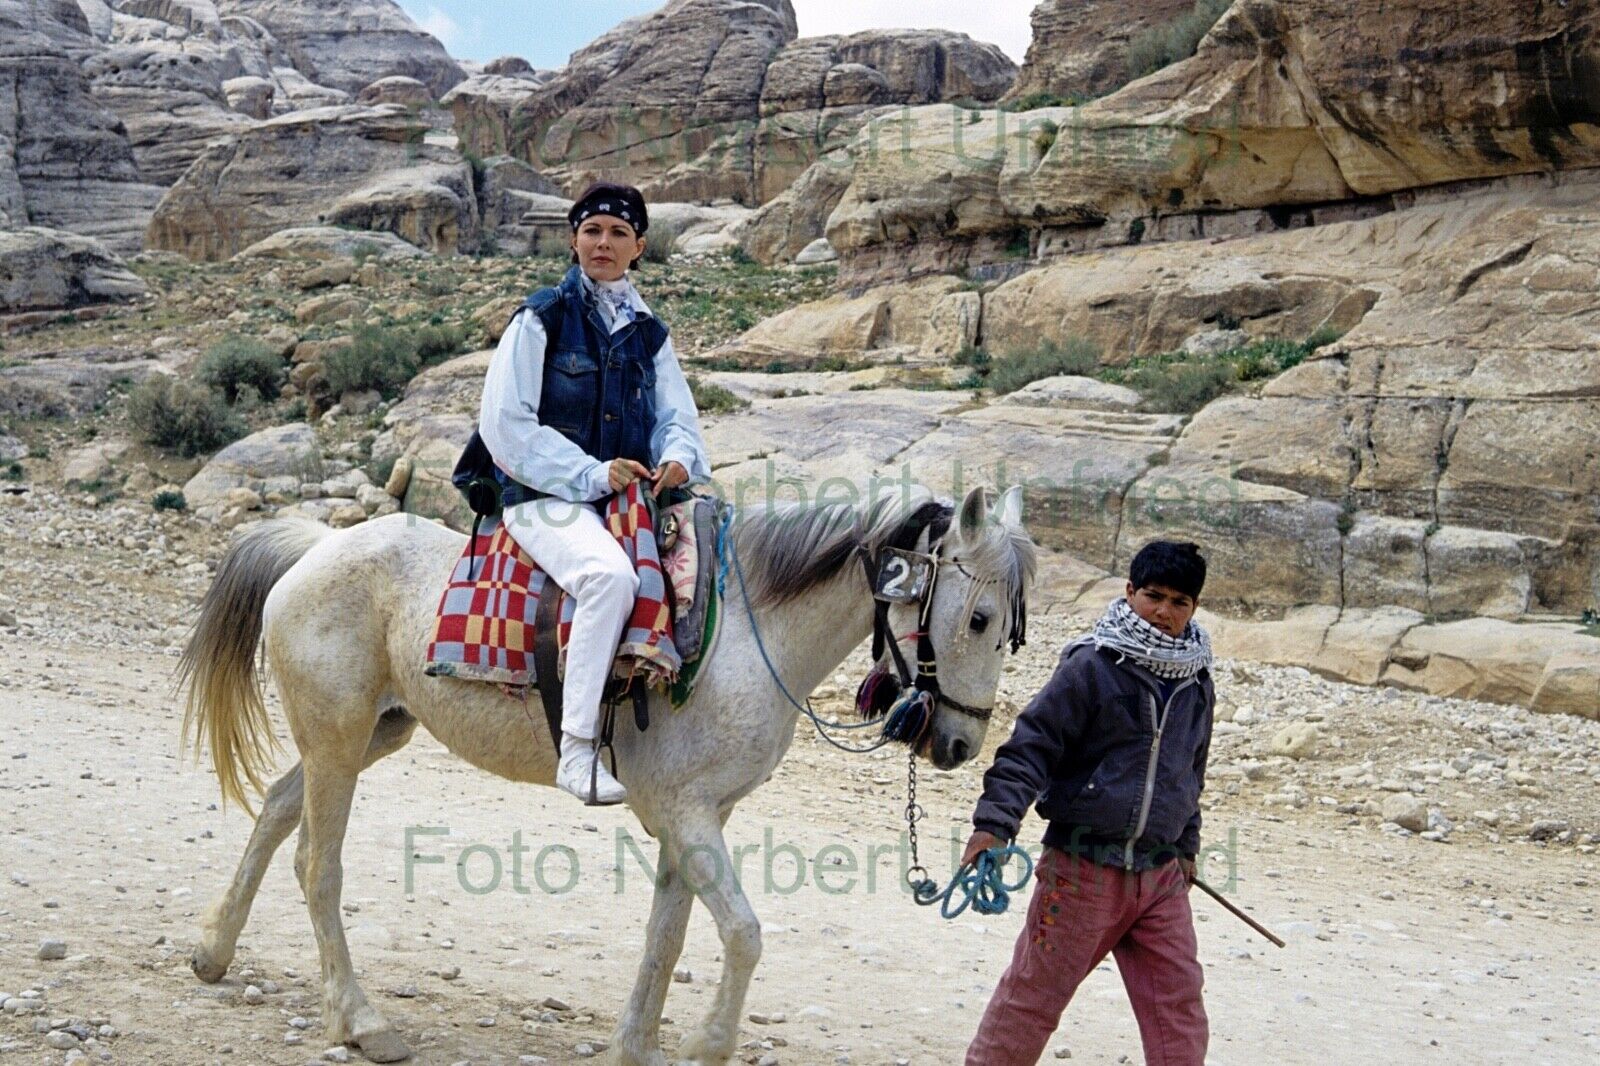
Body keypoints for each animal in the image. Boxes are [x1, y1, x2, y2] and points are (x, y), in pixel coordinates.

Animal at [178, 483, 1036, 1062]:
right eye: (980, 618)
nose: (961, 743)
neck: (744, 631)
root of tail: (317, 547)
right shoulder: (686, 814)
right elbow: (743, 933)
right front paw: (707, 1044)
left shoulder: (698, 818)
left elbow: (669, 933)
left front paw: (637, 1046)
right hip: (338, 741)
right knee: (316, 864)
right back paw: (361, 1022)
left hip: (366, 736)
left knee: (275, 811)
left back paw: (214, 950)